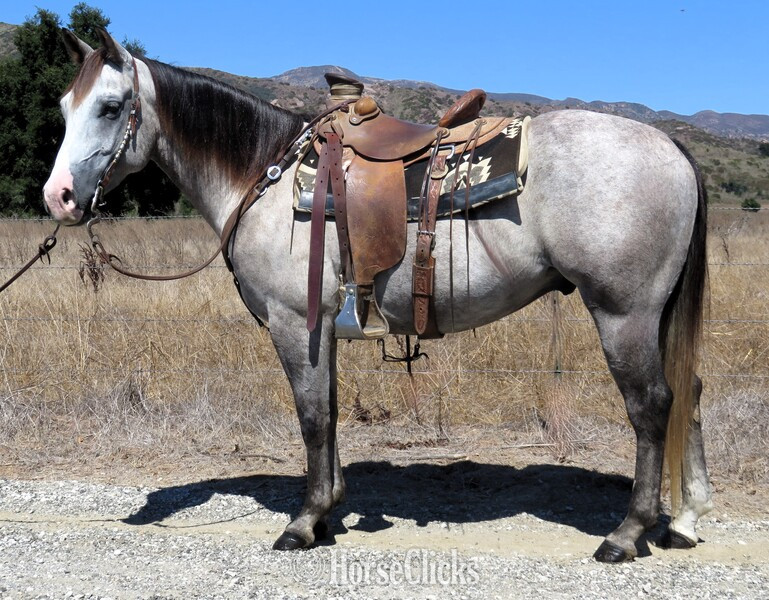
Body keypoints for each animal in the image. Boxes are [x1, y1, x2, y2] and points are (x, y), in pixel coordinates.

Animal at [43, 29, 712, 562]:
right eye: (64, 106)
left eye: (110, 106)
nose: (59, 198)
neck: (264, 176)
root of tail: (672, 148)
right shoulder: (322, 328)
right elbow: (331, 412)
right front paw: (330, 510)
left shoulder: (295, 323)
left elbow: (313, 417)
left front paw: (304, 522)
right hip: (653, 316)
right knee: (689, 391)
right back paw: (684, 520)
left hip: (622, 314)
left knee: (652, 406)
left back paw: (627, 533)